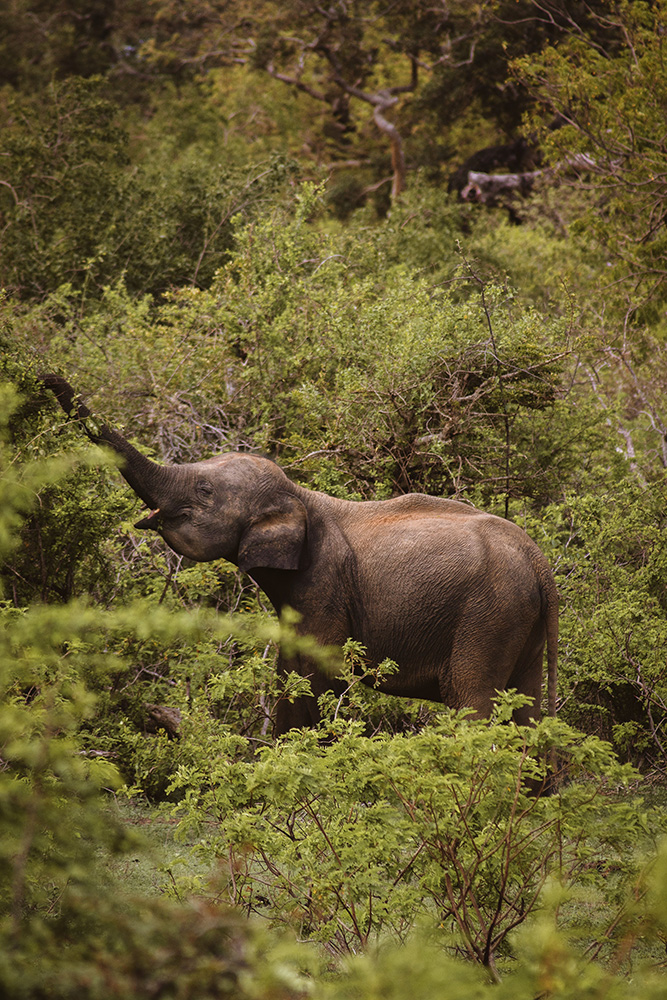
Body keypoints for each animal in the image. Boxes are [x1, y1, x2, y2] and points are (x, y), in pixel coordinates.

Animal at [39, 376, 556, 736]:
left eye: (204, 490)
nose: (44, 376)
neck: (300, 494)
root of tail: (540, 564)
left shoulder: (323, 583)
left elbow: (313, 671)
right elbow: (291, 667)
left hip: (487, 616)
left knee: (474, 700)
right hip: (518, 619)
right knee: (527, 709)